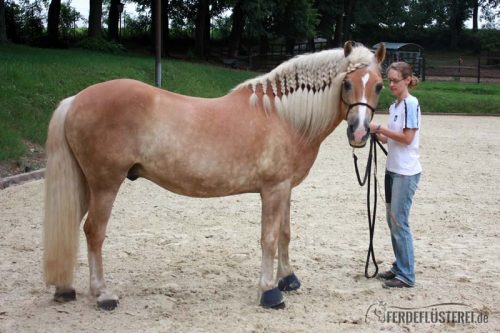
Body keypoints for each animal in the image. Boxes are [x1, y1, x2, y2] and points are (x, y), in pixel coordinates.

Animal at [44, 40, 386, 308]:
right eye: (347, 83)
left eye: (379, 85)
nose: (359, 133)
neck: (284, 117)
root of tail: (75, 100)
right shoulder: (273, 189)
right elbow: (269, 237)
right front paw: (269, 293)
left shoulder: (286, 188)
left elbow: (285, 234)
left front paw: (288, 279)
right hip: (105, 184)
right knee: (94, 231)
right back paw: (103, 294)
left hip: (86, 184)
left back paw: (65, 289)